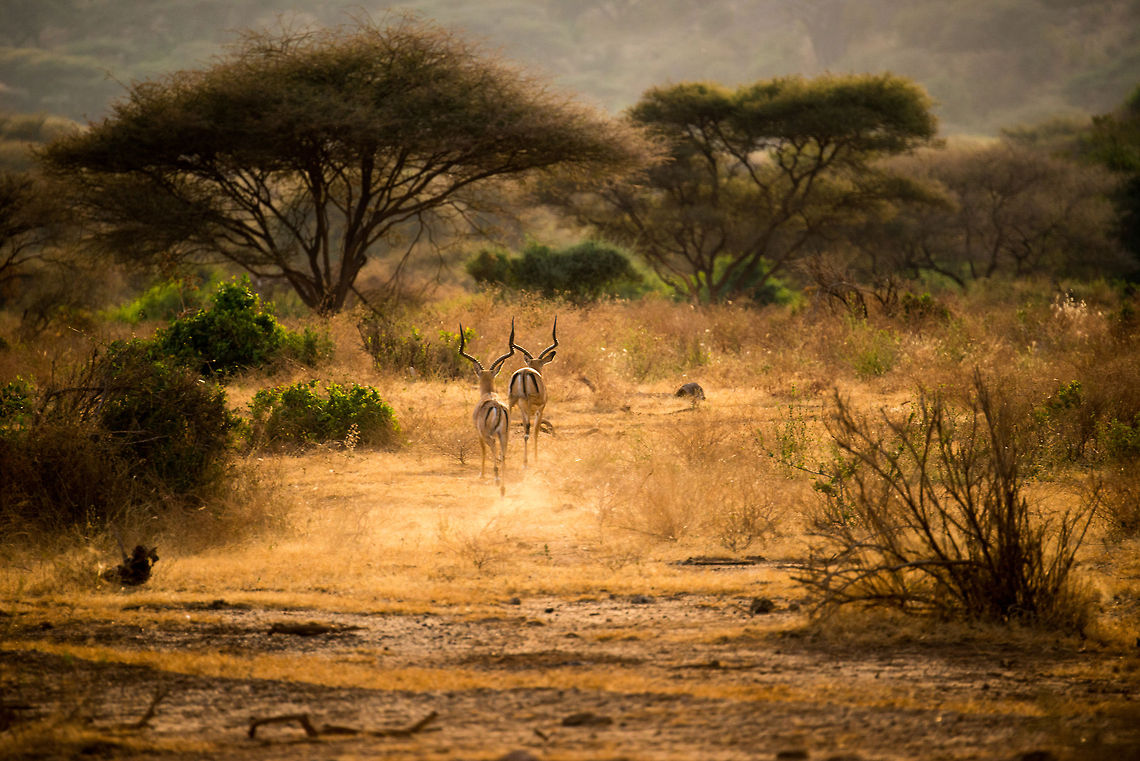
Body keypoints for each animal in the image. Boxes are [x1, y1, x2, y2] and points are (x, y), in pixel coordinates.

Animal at [458, 322, 515, 496]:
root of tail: (497, 406)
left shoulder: (479, 433)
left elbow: (483, 450)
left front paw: (482, 474)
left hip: (489, 434)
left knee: (493, 447)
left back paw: (497, 479)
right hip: (505, 435)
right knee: (504, 455)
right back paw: (502, 486)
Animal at [508, 316, 558, 467]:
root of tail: (524, 372)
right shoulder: (540, 409)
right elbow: (535, 432)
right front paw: (535, 458)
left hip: (512, 403)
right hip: (528, 404)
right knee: (528, 432)